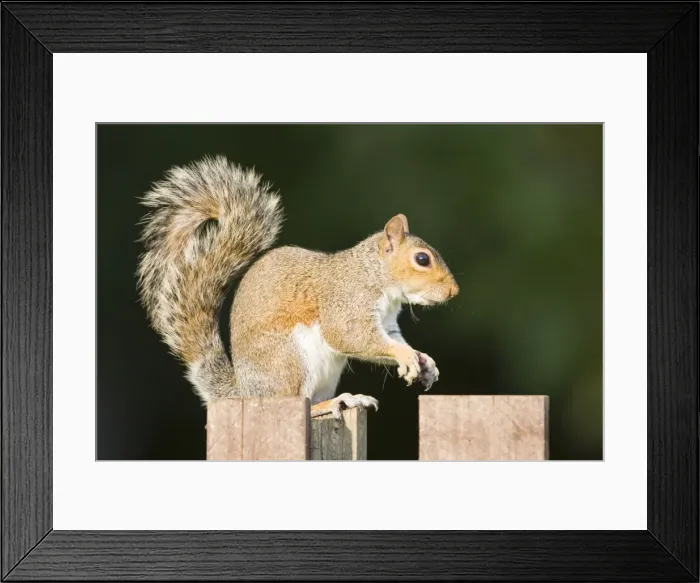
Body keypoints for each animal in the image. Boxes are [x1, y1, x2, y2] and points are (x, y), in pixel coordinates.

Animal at [136, 155, 459, 418]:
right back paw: (335, 402)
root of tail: (246, 393)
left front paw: (423, 360)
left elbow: (392, 338)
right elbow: (351, 335)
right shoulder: (347, 300)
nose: (453, 291)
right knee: (296, 402)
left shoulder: (387, 321)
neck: (374, 275)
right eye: (422, 259)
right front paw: (405, 356)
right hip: (290, 360)